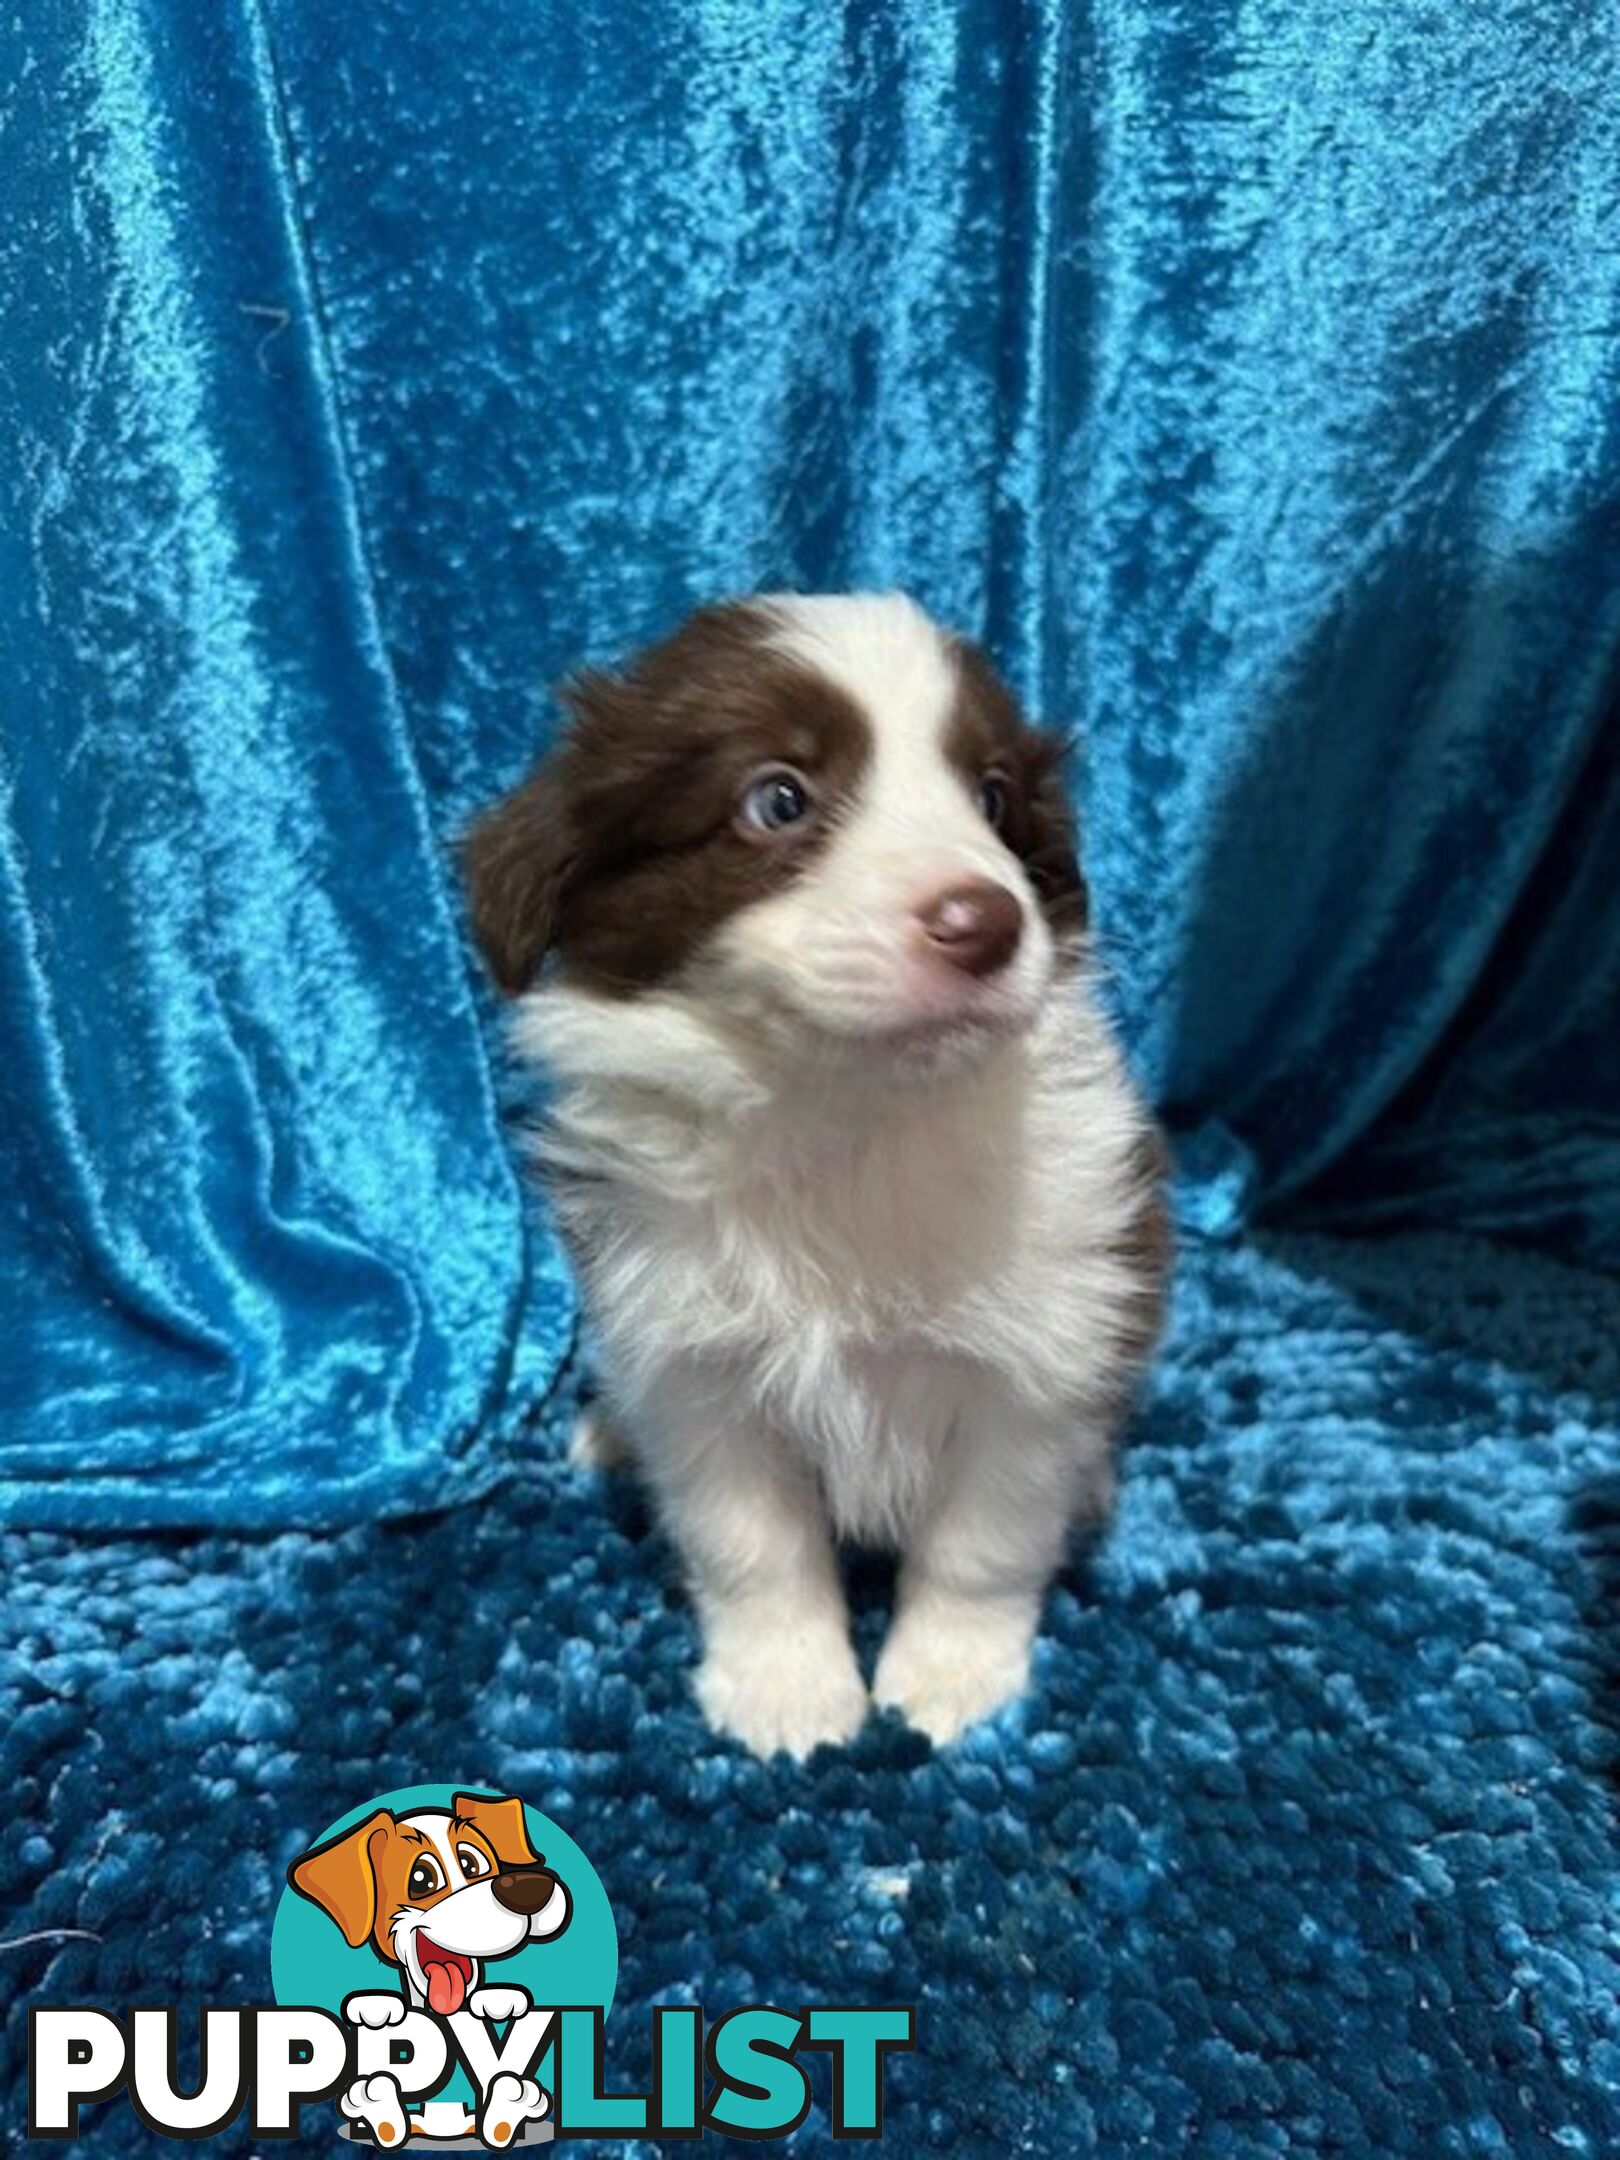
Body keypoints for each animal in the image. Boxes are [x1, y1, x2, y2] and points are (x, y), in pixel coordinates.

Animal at [466, 587, 1166, 1753]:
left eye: (993, 797)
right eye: (779, 800)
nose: (986, 922)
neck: (847, 1116)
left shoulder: (1046, 1354)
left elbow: (983, 1542)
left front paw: (950, 1680)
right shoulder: (694, 1363)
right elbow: (752, 1544)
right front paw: (787, 1688)